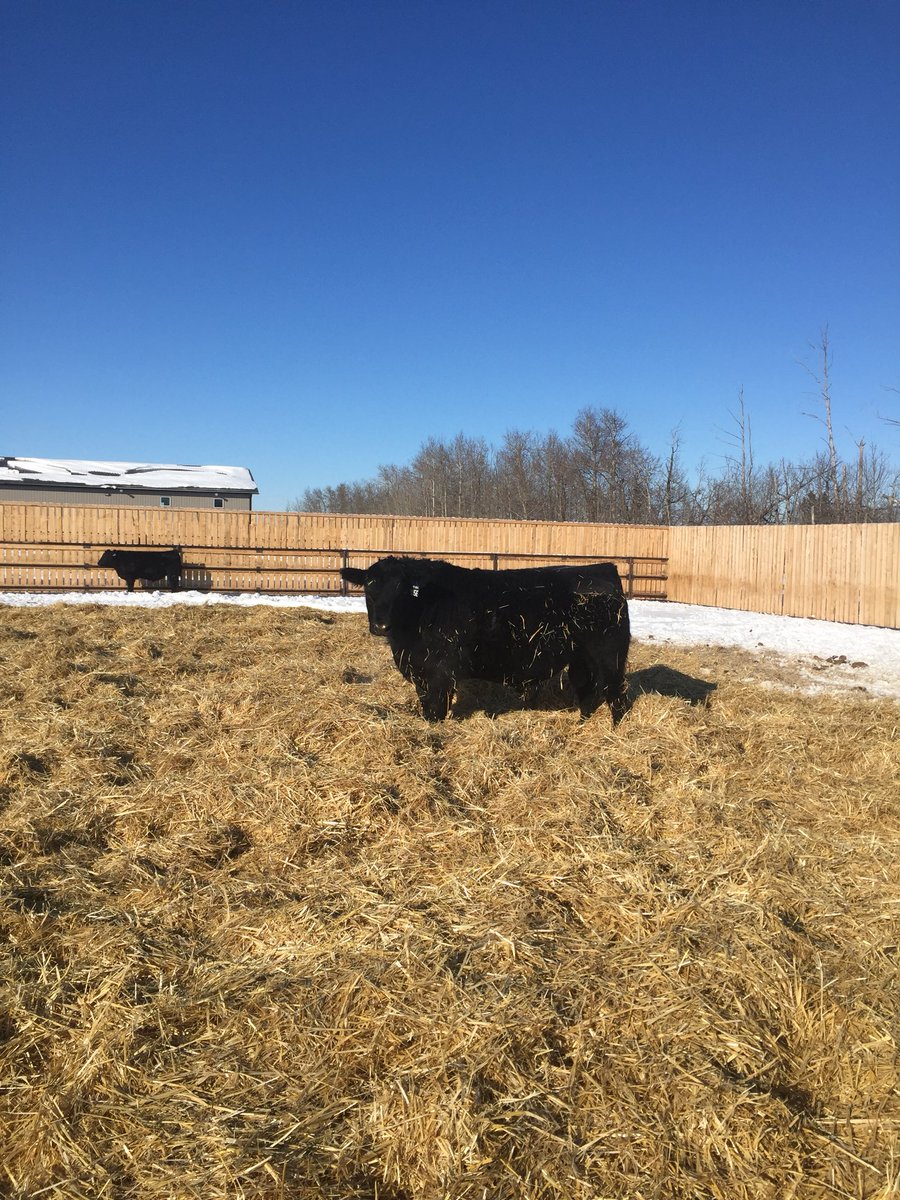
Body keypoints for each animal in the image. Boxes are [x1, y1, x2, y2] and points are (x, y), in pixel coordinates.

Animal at [340, 556, 631, 724]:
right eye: (369, 587)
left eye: (401, 589)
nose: (381, 625)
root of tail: (605, 569)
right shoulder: (420, 671)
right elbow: (426, 705)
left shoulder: (440, 673)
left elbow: (436, 710)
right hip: (581, 659)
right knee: (587, 692)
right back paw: (581, 725)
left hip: (610, 657)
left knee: (616, 695)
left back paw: (614, 730)